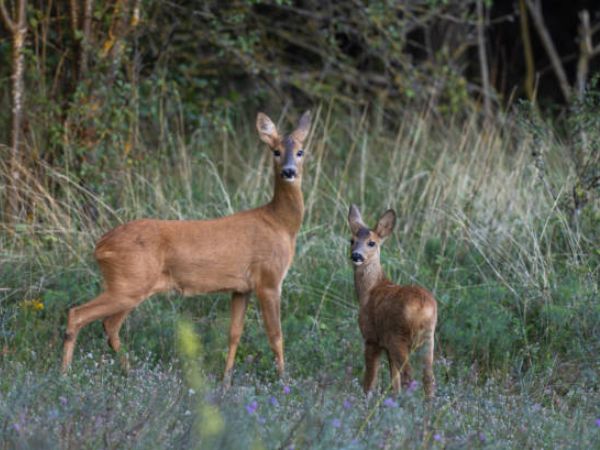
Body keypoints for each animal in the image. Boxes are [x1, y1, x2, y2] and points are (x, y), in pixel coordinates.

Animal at [62, 109, 312, 384]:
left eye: (300, 151)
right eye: (276, 151)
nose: (288, 171)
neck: (281, 224)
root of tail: (100, 246)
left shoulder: (241, 287)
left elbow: (234, 333)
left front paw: (226, 380)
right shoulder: (269, 279)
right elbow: (276, 335)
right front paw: (283, 380)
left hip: (128, 285)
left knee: (108, 325)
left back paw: (128, 372)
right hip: (128, 283)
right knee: (79, 314)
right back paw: (64, 374)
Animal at [346, 204, 436, 398]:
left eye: (371, 242)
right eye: (352, 240)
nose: (356, 256)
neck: (369, 290)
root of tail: (422, 307)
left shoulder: (372, 337)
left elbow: (370, 380)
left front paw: (365, 400)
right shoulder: (386, 345)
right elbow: (394, 381)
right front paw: (393, 399)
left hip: (399, 336)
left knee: (409, 376)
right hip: (428, 338)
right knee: (428, 378)